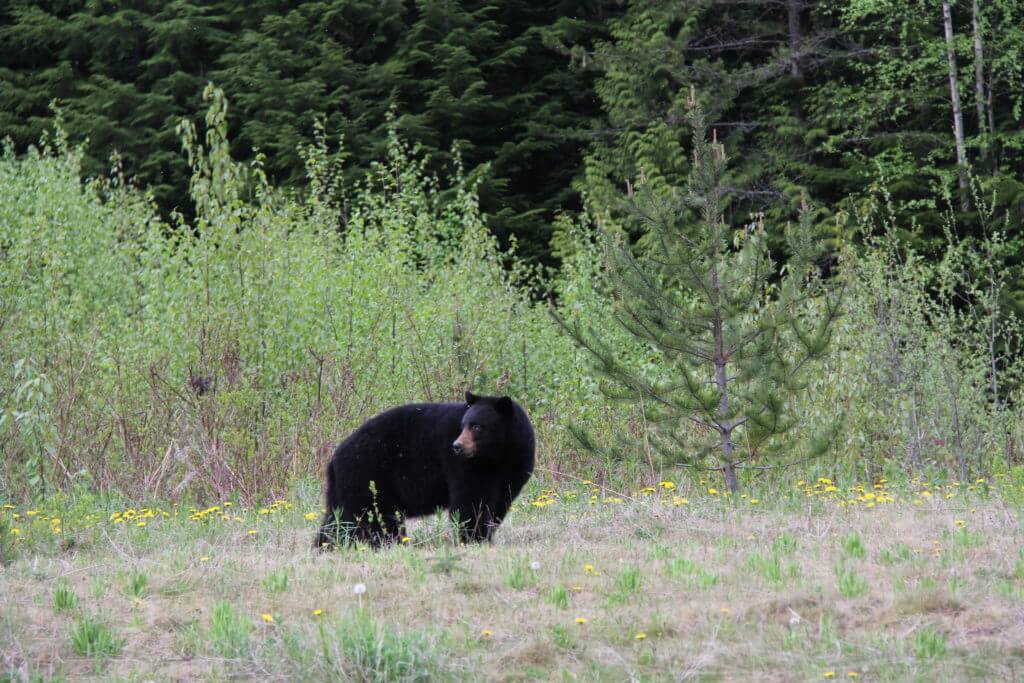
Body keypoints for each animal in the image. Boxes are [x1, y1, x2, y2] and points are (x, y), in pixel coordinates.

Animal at [313, 393, 536, 548]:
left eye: (477, 427)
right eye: (464, 425)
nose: (457, 446)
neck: (496, 456)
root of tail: (335, 457)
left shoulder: (514, 469)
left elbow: (499, 502)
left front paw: (485, 534)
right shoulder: (464, 466)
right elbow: (471, 500)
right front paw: (473, 538)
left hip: (348, 484)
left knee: (338, 515)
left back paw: (325, 545)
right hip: (368, 477)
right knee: (368, 516)